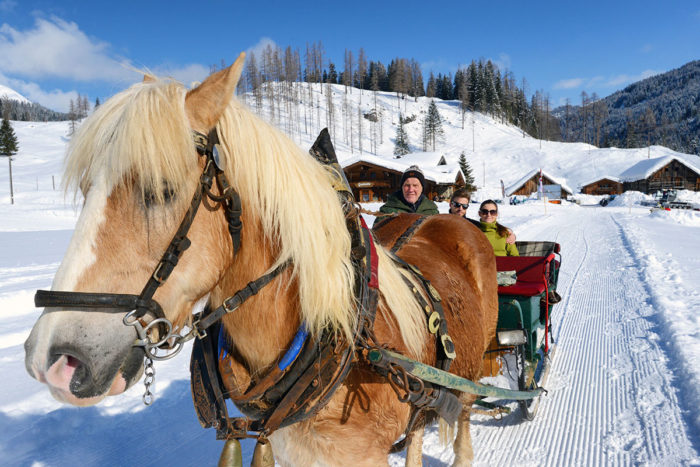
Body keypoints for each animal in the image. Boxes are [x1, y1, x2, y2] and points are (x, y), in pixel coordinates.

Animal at [24, 53, 500, 466]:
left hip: (470, 378)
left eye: (162, 189)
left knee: (462, 425)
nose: (53, 360)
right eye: (86, 189)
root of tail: (447, 219)